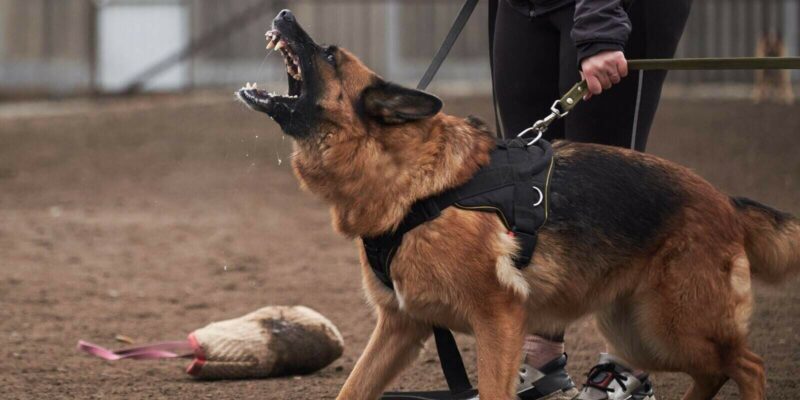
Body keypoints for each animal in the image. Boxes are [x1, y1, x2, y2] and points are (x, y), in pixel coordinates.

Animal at [238, 9, 800, 400]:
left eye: (330, 54)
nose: (283, 14)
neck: (415, 188)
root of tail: (724, 200)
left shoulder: (499, 320)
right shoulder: (402, 327)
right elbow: (351, 388)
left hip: (674, 326)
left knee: (747, 365)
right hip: (640, 332)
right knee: (713, 371)